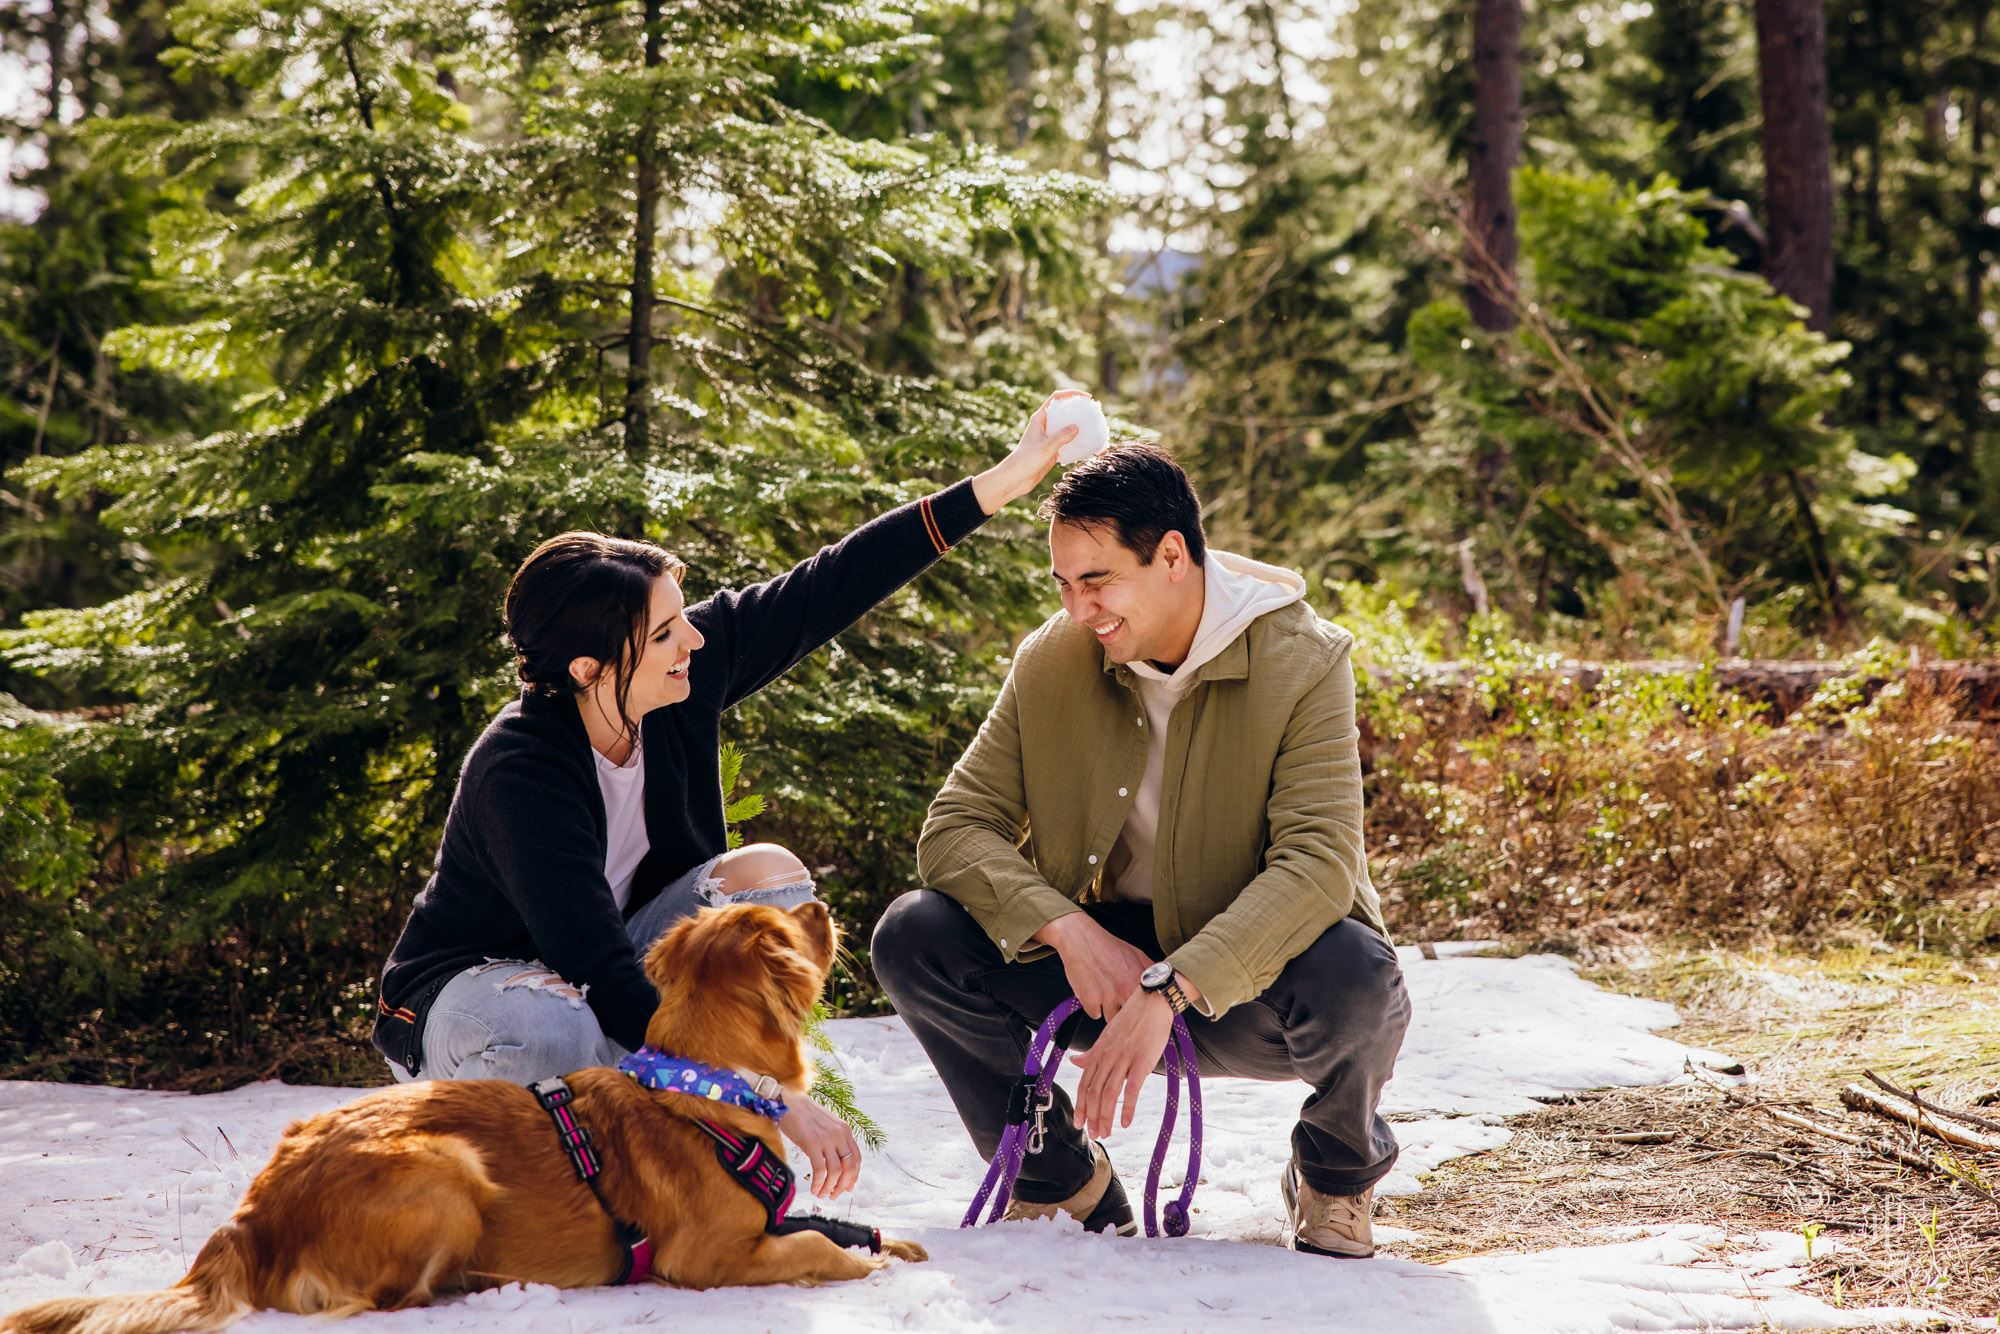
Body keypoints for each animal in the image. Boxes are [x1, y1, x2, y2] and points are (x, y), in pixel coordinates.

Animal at [3, 896, 924, 1334]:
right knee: (384, 1301)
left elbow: (833, 1225)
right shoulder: (708, 1256)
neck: (702, 1087)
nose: (823, 906)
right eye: (791, 928)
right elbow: (814, 1246)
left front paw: (895, 1243)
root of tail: (252, 1215)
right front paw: (864, 1262)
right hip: (445, 1168)